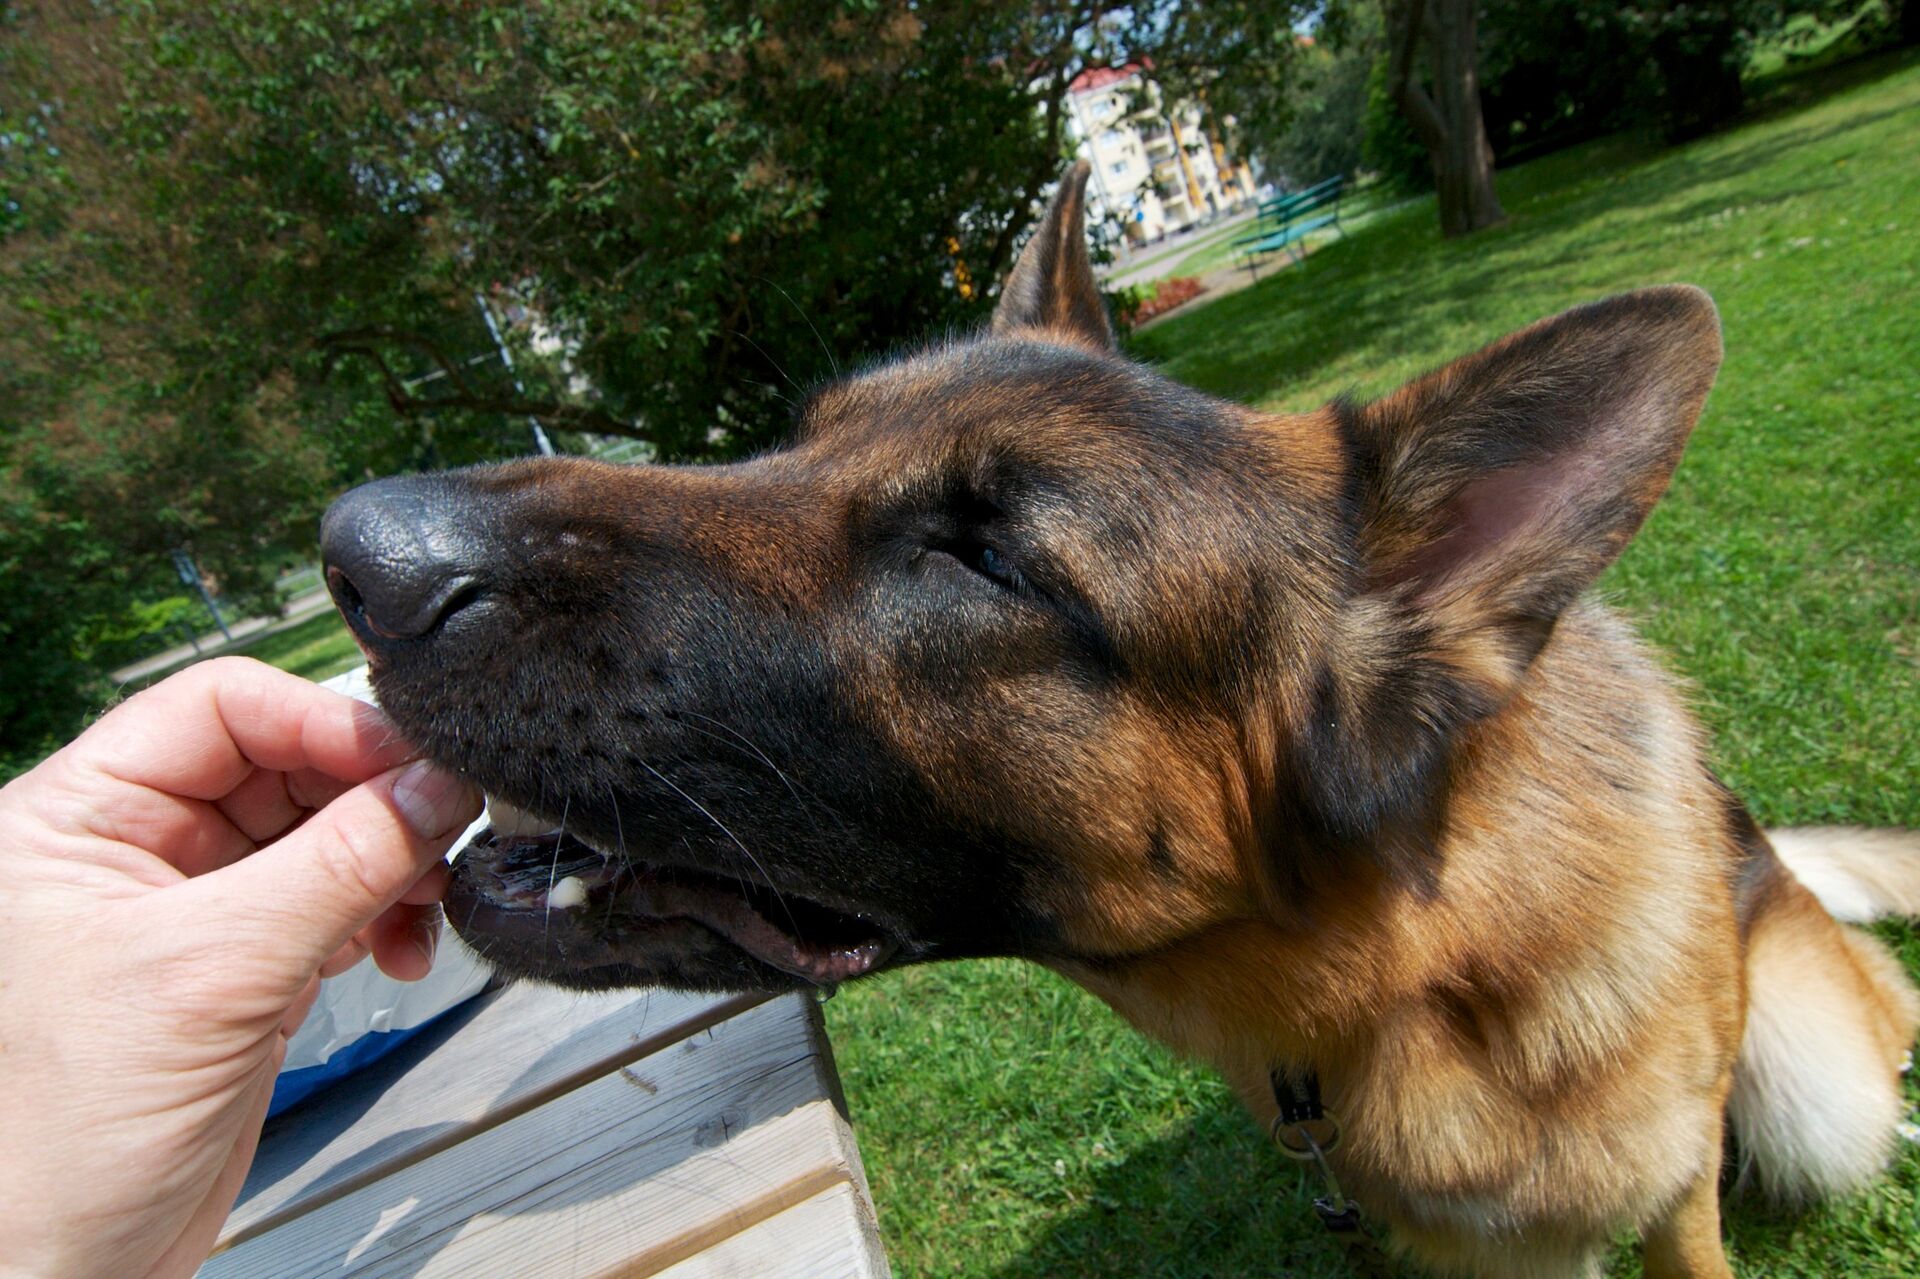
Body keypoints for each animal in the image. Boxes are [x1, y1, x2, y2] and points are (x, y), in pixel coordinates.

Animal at [321, 162, 1920, 1277]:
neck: (1418, 978)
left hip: (1818, 1090)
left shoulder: (1669, 1202)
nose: (355, 555)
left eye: (985, 559)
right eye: (799, 438)